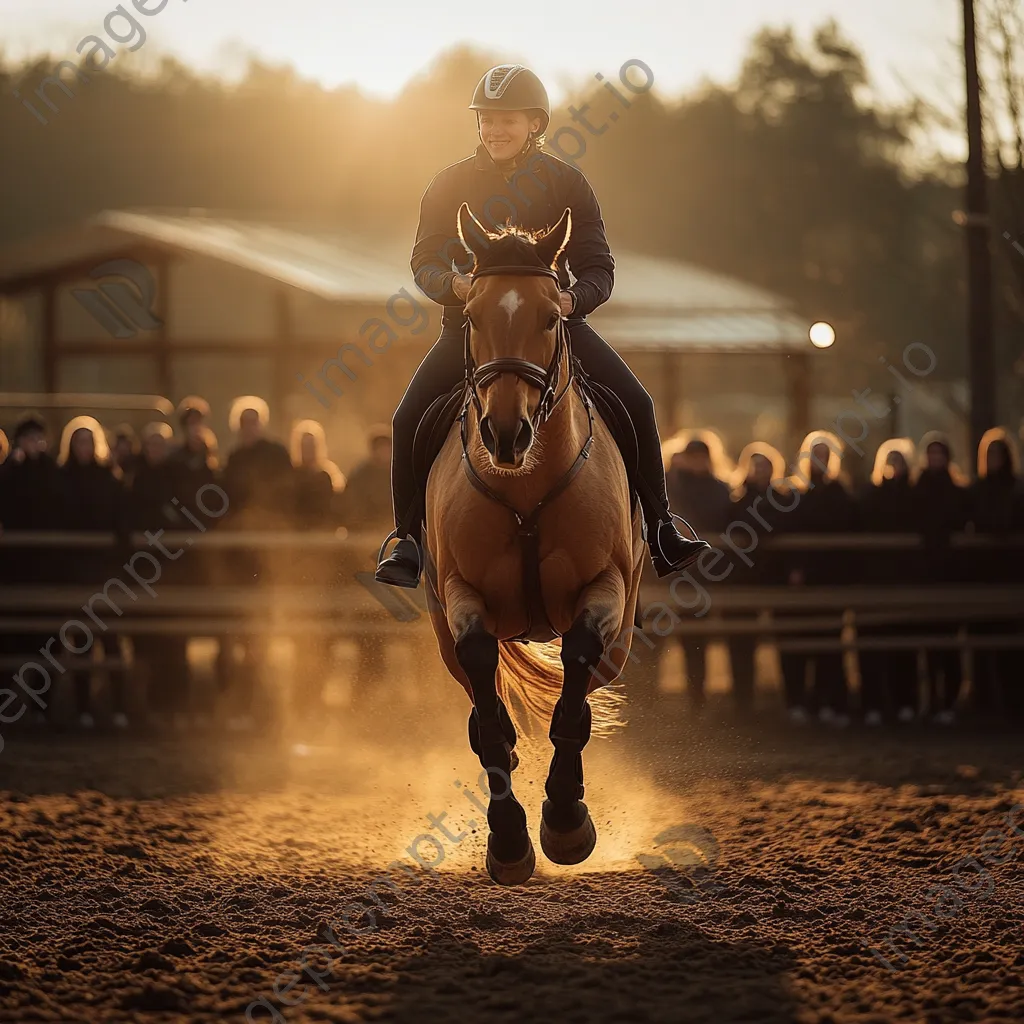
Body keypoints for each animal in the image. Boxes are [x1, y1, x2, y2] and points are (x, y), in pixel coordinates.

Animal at [419, 203, 643, 884]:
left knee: (586, 683)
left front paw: (566, 822)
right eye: (471, 315)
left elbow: (573, 686)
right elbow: (486, 700)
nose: (506, 433)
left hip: (622, 637)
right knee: (481, 696)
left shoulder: (606, 589)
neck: (526, 487)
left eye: (550, 316)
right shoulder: (459, 597)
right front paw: (510, 839)